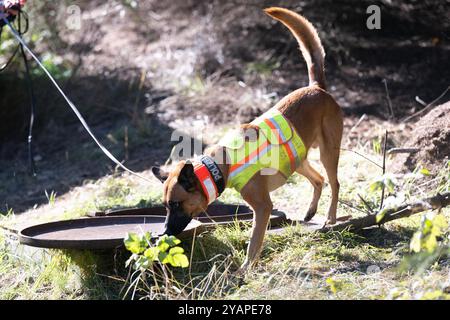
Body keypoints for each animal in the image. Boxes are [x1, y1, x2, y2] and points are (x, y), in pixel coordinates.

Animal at [153, 7, 342, 272]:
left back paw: (331, 217)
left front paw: (245, 269)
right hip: (297, 158)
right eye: (165, 206)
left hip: (328, 152)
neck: (220, 166)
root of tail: (317, 87)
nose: (164, 232)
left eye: (177, 204)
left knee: (334, 183)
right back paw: (310, 211)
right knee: (318, 179)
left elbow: (254, 242)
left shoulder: (263, 208)